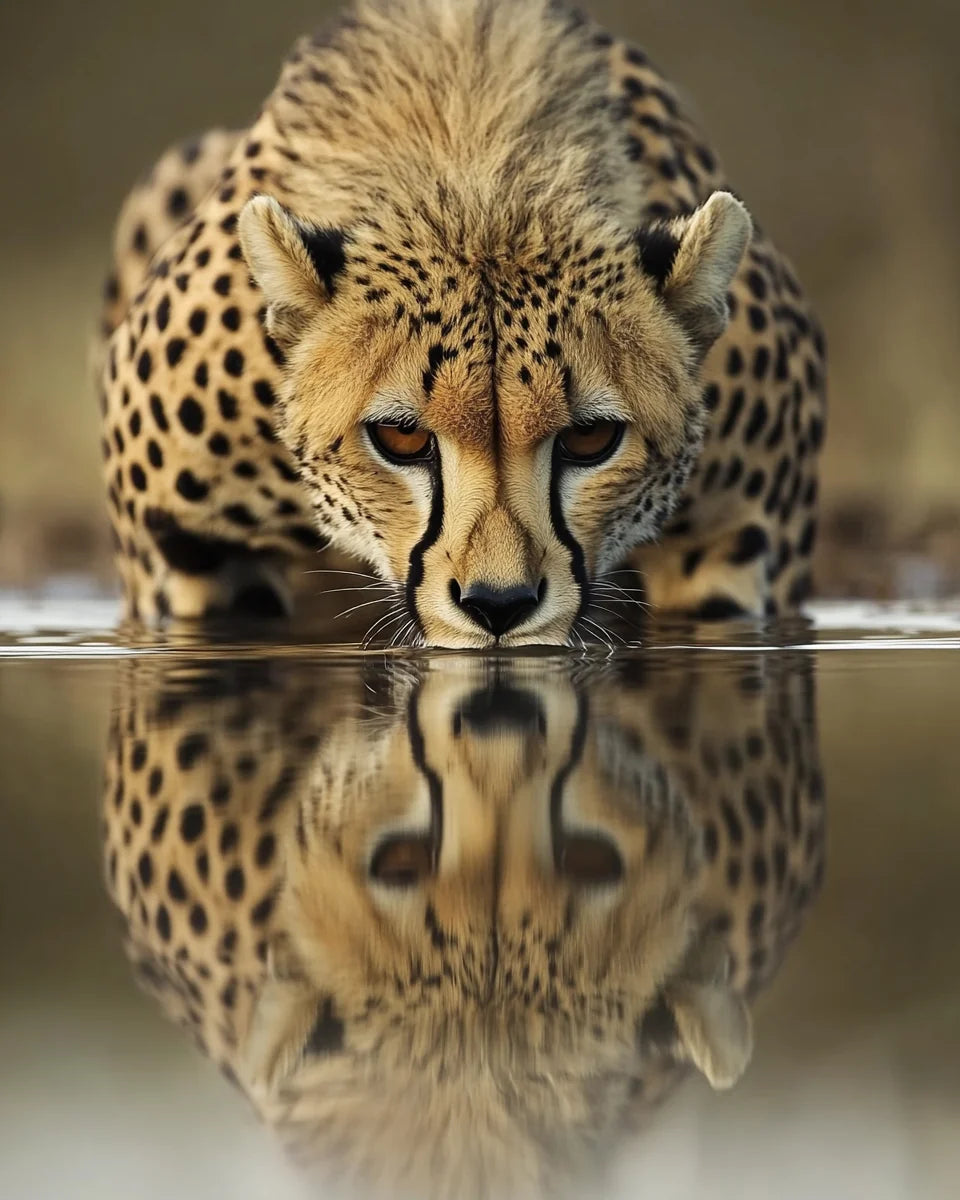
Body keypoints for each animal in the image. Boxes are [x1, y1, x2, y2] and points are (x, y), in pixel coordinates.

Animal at [97, 0, 826, 647]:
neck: (479, 179)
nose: (498, 605)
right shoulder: (178, 560)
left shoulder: (738, 550)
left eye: (591, 439)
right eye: (399, 436)